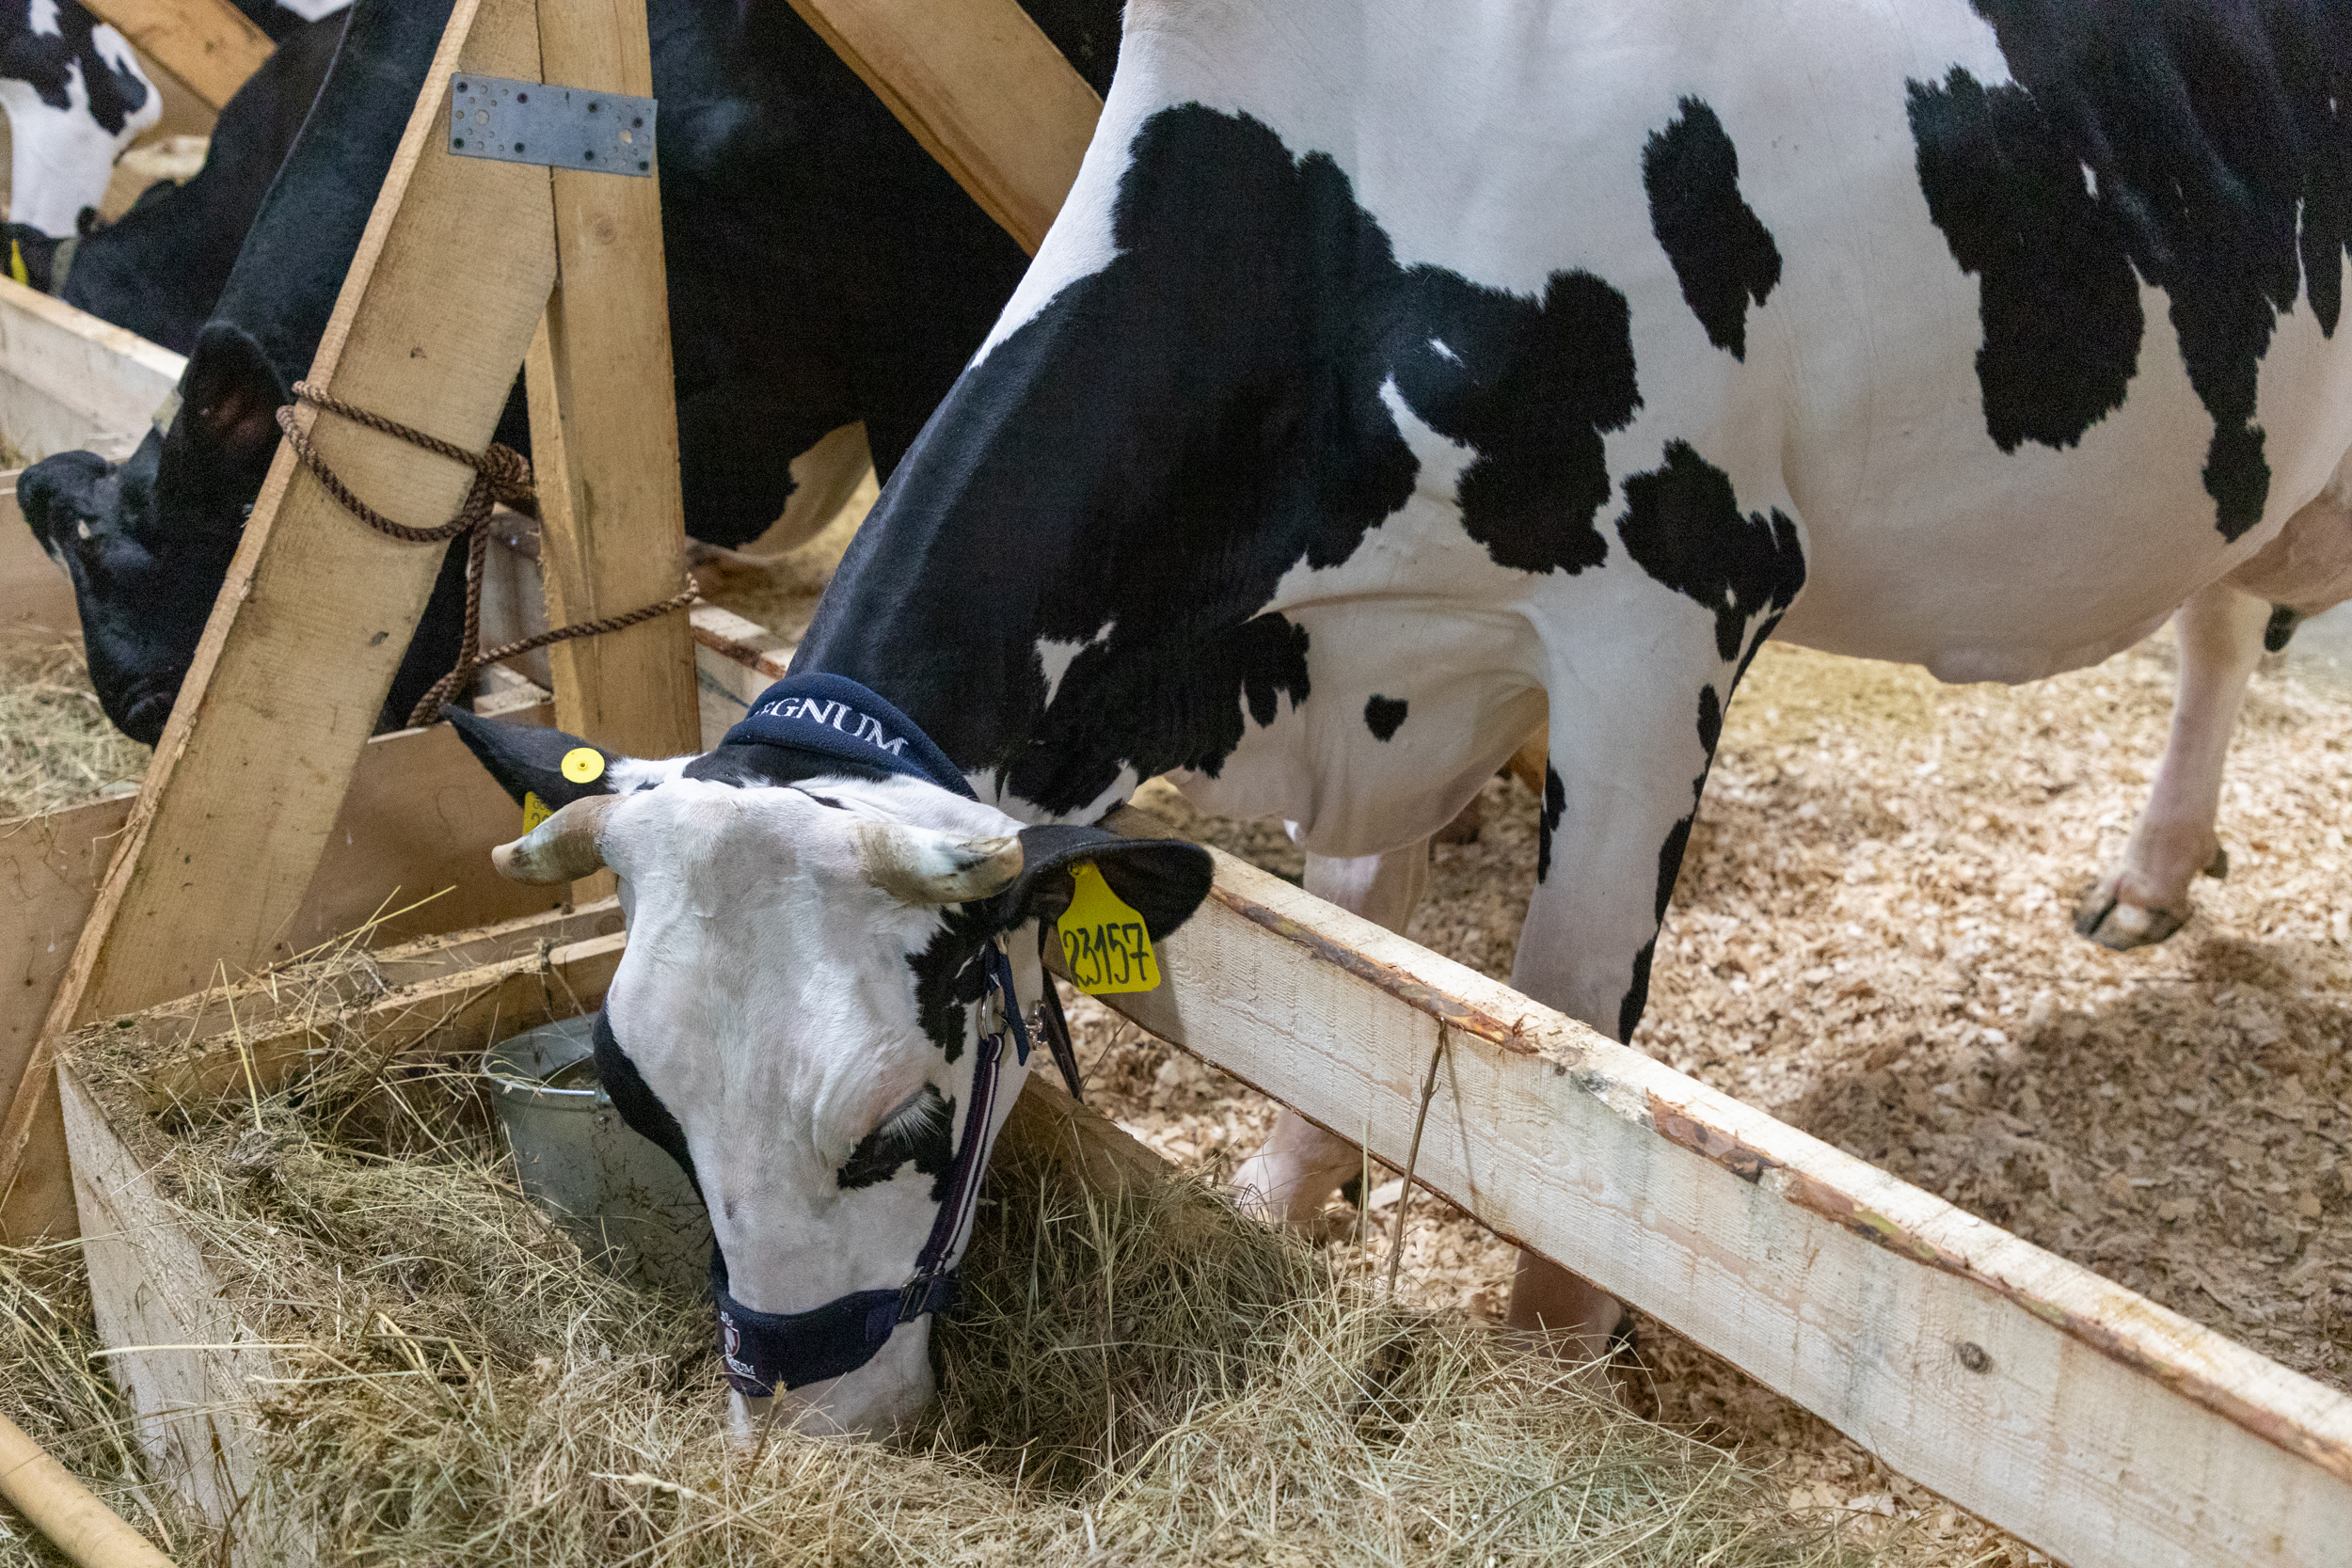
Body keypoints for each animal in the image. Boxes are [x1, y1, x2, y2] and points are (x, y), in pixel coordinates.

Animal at [453, 0, 2352, 1438]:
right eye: (641, 1100)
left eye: (901, 1122)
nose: (805, 1430)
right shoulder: (1377, 660)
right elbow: (1366, 953)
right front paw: (1289, 1194)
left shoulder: (1667, 615)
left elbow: (1572, 1037)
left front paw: (1552, 1353)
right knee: (2226, 606)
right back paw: (2158, 869)